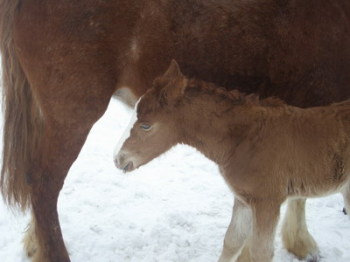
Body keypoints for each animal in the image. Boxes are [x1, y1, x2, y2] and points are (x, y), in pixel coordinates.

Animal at [115, 60, 350, 260]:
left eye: (146, 125)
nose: (118, 158)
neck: (244, 139)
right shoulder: (244, 199)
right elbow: (232, 241)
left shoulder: (267, 202)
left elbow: (260, 252)